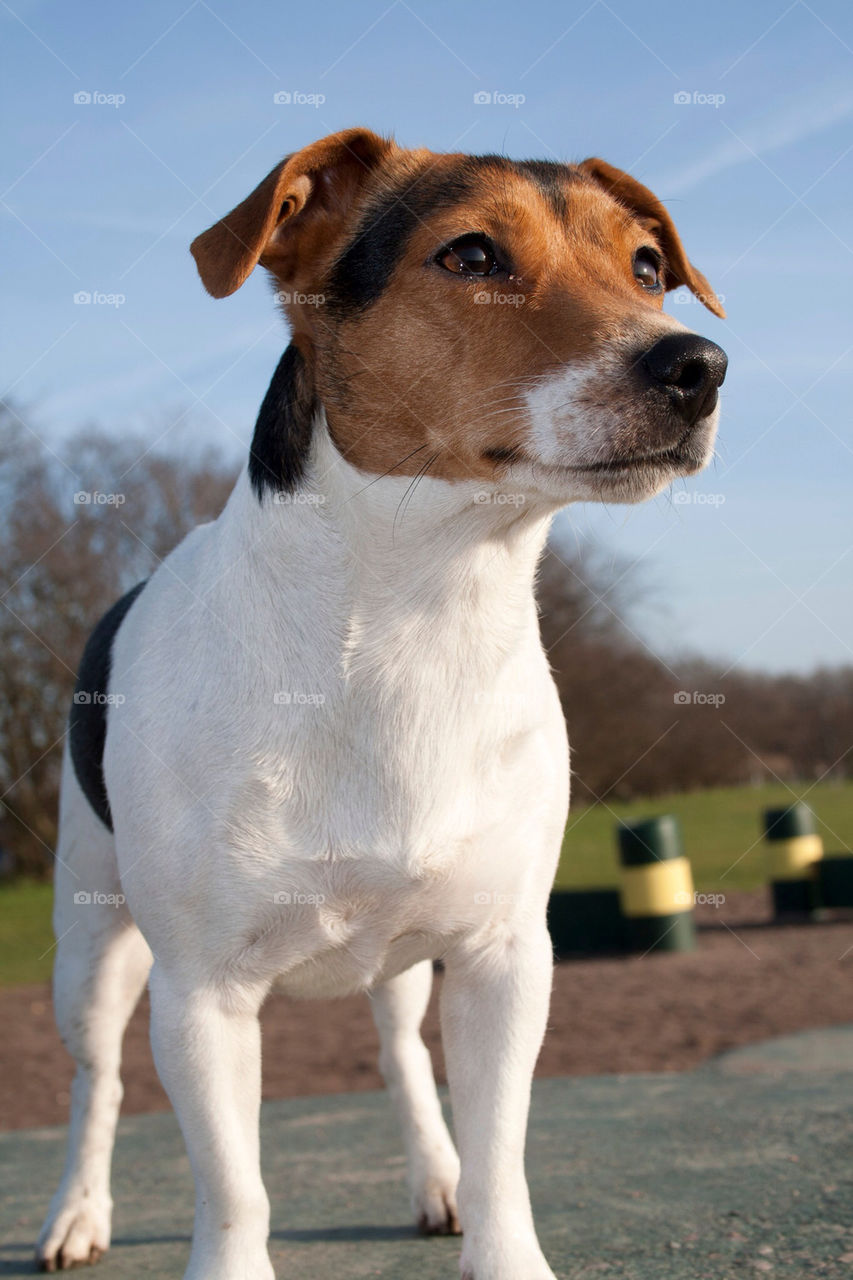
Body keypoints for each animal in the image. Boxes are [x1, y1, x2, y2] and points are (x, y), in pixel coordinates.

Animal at [33, 124, 722, 1274]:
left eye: (645, 268)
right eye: (471, 255)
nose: (697, 365)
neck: (418, 617)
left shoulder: (501, 957)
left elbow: (499, 1160)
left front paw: (486, 1222)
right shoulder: (201, 996)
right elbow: (233, 1191)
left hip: (401, 962)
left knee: (402, 1058)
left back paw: (431, 1176)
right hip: (92, 951)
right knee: (98, 1082)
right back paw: (76, 1212)